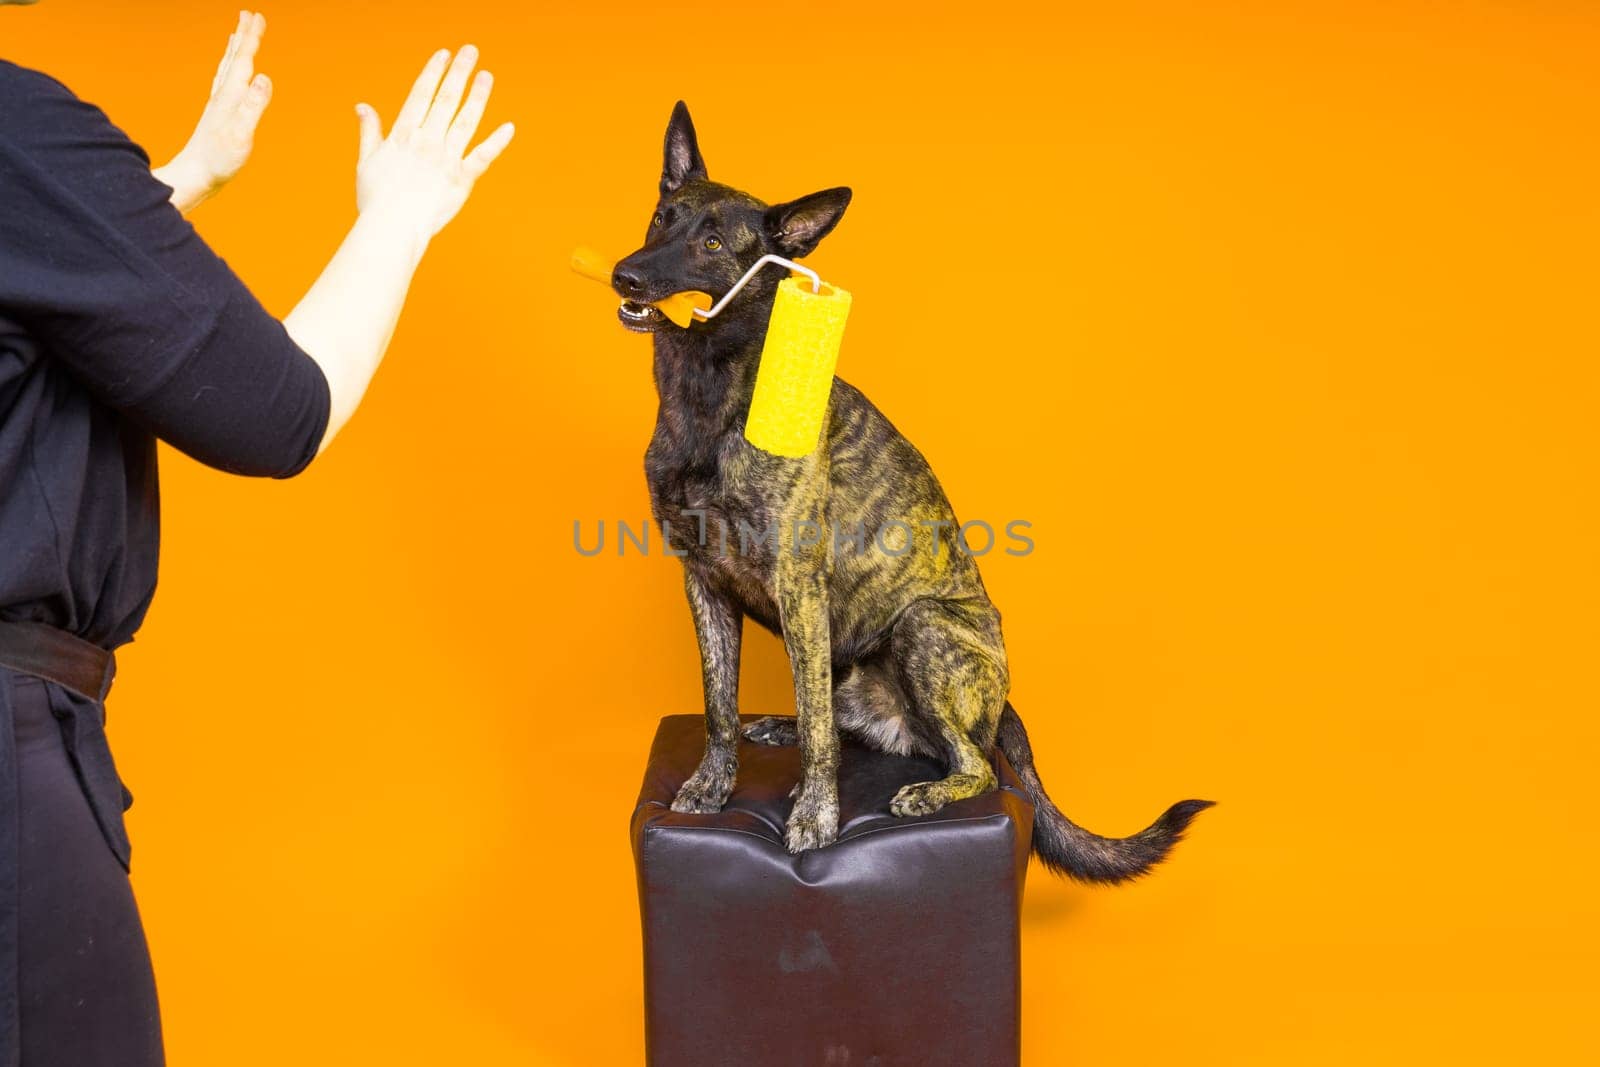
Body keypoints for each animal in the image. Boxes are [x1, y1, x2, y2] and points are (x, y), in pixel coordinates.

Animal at [611, 102, 1209, 883]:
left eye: (711, 243)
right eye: (662, 218)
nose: (624, 276)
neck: (709, 391)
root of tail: (1004, 707)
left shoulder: (798, 584)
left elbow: (818, 739)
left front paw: (814, 816)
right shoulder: (703, 582)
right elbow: (718, 706)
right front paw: (713, 784)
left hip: (922, 627)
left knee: (968, 762)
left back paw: (929, 790)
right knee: (843, 720)